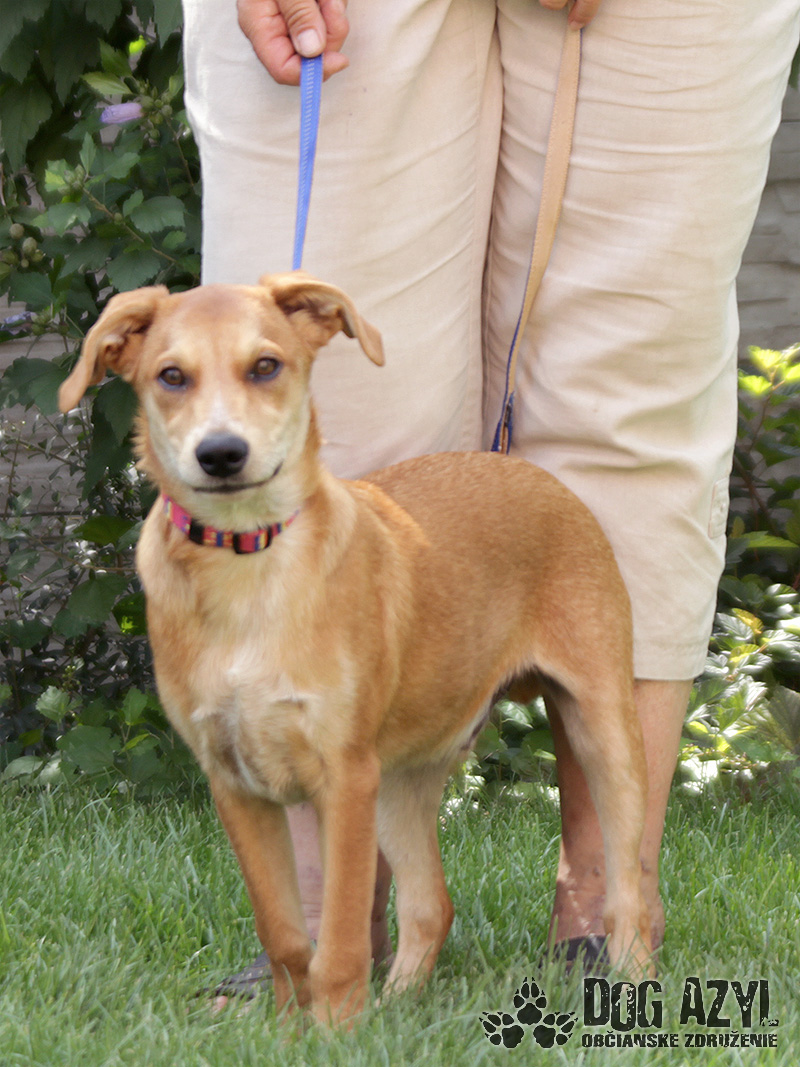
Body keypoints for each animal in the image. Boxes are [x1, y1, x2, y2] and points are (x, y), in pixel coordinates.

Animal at [58, 272, 653, 1026]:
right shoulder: (235, 782)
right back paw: (397, 1007)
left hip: (602, 728)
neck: (249, 565)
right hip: (403, 776)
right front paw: (289, 1025)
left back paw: (634, 990)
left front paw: (335, 1029)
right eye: (171, 375)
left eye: (266, 366)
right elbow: (285, 931)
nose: (221, 454)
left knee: (628, 891)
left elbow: (339, 935)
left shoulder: (342, 776)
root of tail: (525, 469)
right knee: (430, 904)